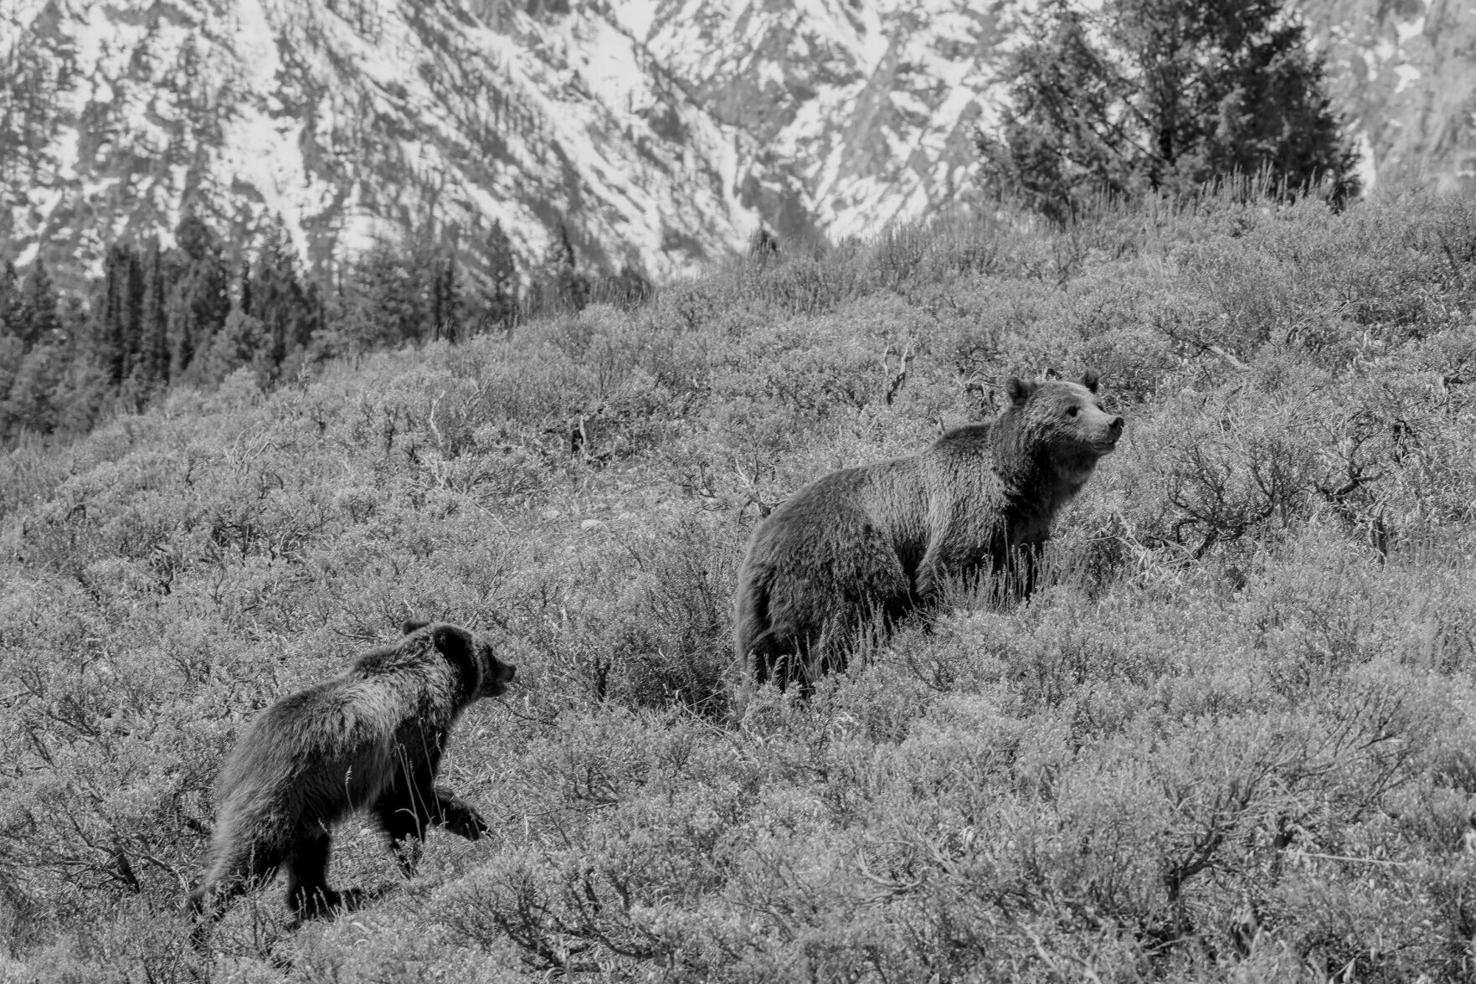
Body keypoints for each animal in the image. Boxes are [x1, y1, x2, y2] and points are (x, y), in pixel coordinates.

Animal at [188, 620, 515, 940]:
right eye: (490, 650)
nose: (511, 667)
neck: (430, 683)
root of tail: (238, 761)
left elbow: (423, 798)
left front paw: (474, 823)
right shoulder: (409, 739)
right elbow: (407, 802)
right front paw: (412, 863)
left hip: (308, 808)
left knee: (310, 855)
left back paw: (328, 898)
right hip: (279, 798)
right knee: (251, 858)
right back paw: (198, 919)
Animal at [734, 372, 1123, 689]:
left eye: (1098, 402)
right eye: (1071, 409)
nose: (1114, 422)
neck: (1021, 484)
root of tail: (762, 550)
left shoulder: (1025, 531)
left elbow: (1024, 574)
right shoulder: (967, 510)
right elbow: (951, 573)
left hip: (761, 617)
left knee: (769, 661)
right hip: (842, 569)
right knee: (835, 637)